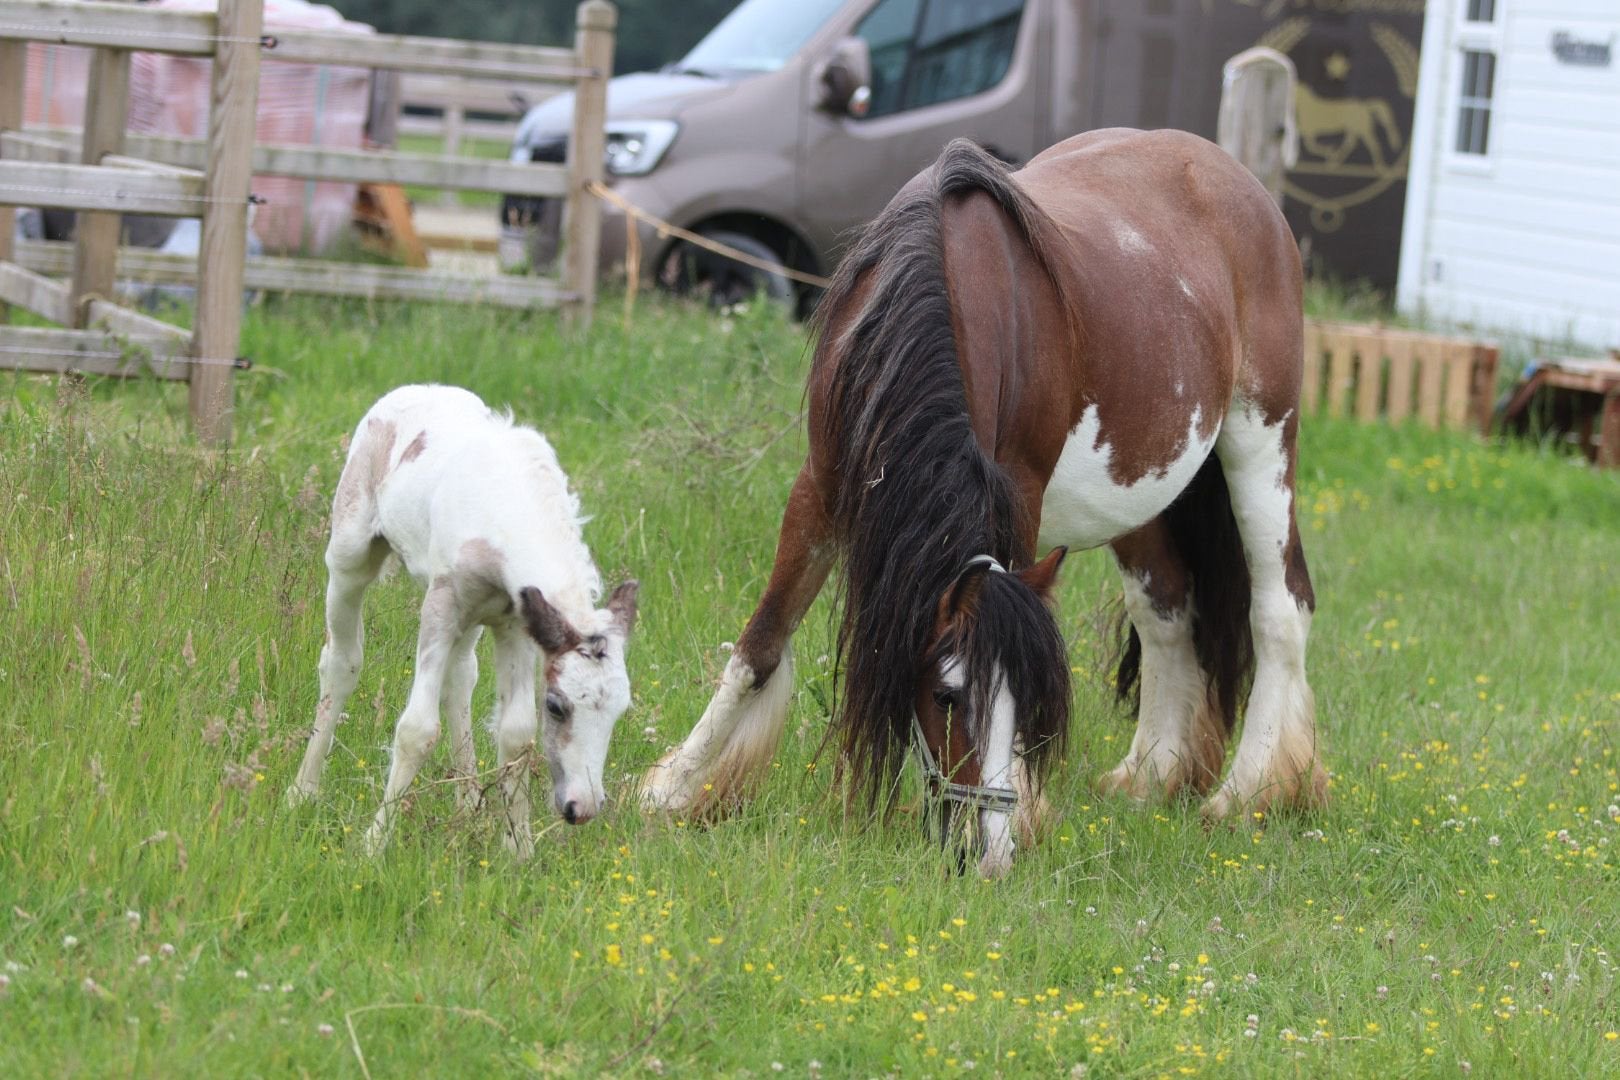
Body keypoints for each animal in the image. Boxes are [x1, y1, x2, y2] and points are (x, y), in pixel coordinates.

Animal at [287, 384, 639, 858]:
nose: (580, 807)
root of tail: (413, 388)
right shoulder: (442, 604)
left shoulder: (515, 623)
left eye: (621, 710)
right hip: (350, 553)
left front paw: (519, 850)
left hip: (475, 617)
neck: (505, 510)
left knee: (460, 677)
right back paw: (302, 791)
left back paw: (468, 802)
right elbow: (416, 729)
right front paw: (373, 845)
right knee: (342, 662)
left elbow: (516, 734)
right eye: (556, 705)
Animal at [640, 129, 1327, 877]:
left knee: (1280, 608)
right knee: (1167, 610)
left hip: (1263, 440)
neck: (946, 287)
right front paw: (675, 790)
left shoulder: (1019, 494)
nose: (988, 854)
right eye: (945, 695)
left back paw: (1248, 791)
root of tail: (1241, 185)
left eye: (1026, 699)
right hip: (1142, 489)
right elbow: (760, 643)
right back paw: (1151, 776)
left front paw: (1024, 813)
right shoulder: (820, 487)